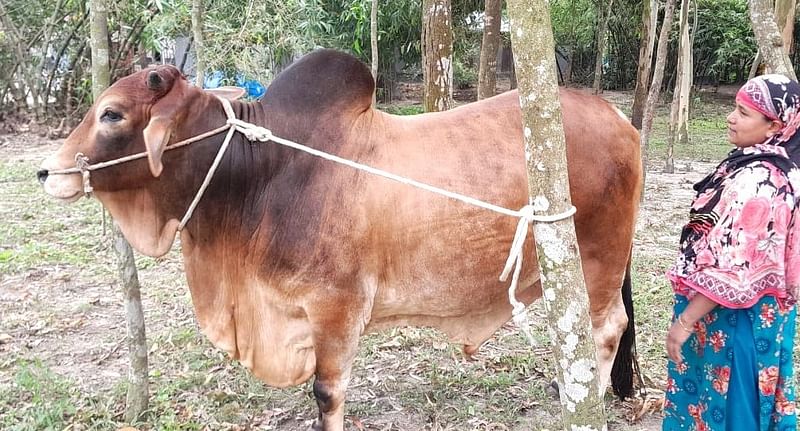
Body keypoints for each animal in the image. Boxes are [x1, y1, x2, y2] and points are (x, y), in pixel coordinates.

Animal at [39, 49, 644, 430]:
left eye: (112, 114)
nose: (47, 171)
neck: (262, 173)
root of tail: (619, 118)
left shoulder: (337, 306)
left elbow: (327, 393)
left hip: (599, 256)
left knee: (606, 328)